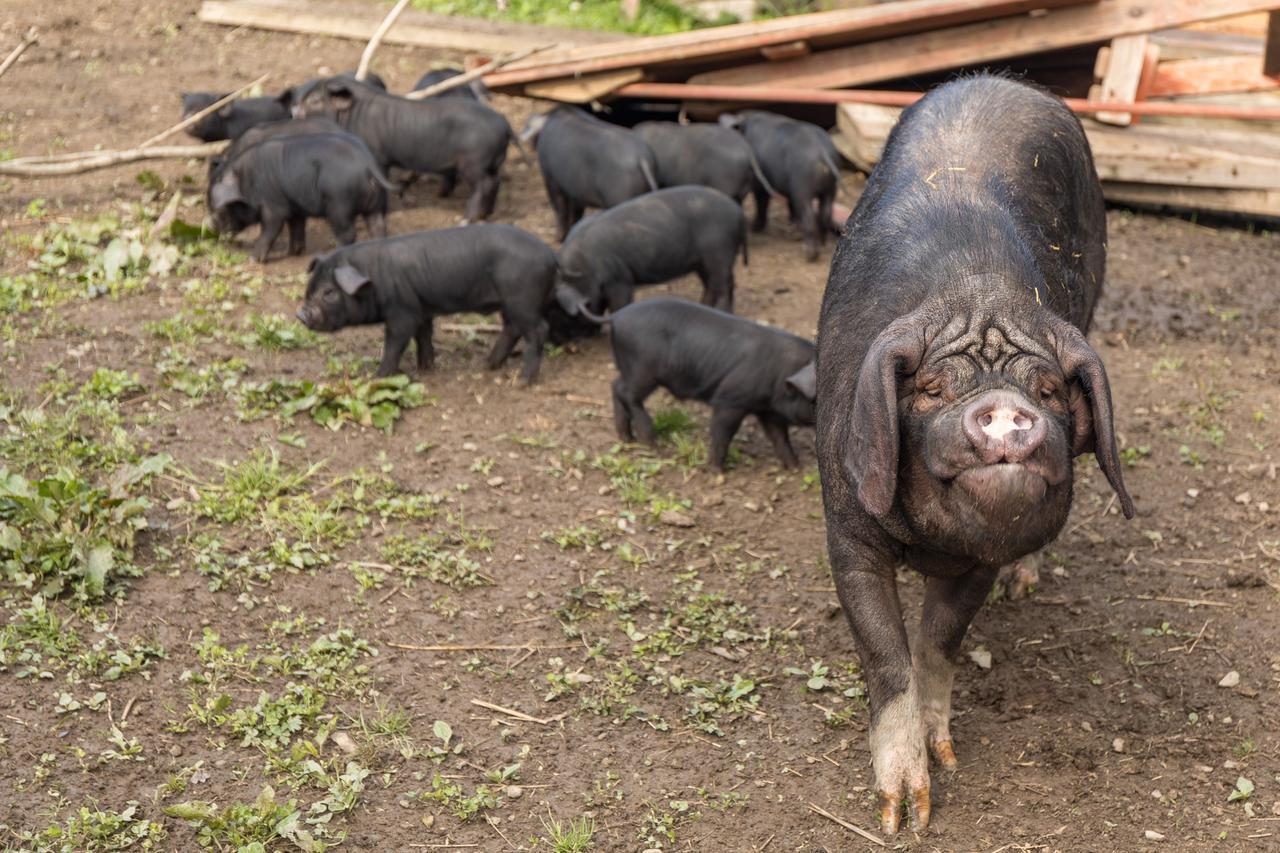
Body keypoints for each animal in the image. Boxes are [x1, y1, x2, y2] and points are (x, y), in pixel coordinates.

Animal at [293, 75, 517, 220]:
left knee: (484, 185)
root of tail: (504, 123)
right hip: (492, 162)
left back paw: (465, 220)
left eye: (314, 100)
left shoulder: (378, 156)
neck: (352, 115)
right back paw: (486, 214)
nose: (295, 112)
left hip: (473, 163)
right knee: (495, 182)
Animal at [302, 225, 563, 384]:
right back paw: (488, 365)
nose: (301, 314)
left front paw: (378, 377)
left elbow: (395, 343)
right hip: (512, 303)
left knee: (538, 330)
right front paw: (426, 367)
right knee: (512, 328)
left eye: (328, 292)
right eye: (310, 287)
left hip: (522, 298)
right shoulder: (421, 309)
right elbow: (424, 336)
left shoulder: (402, 312)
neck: (374, 278)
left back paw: (521, 381)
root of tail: (551, 255)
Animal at [552, 185, 747, 315]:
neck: (586, 262)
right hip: (704, 262)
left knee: (722, 286)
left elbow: (620, 303)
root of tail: (739, 213)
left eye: (574, 280)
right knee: (718, 284)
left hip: (719, 253)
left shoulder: (619, 279)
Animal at [601, 295, 819, 468]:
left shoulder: (767, 409)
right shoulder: (730, 398)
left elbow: (779, 436)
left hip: (629, 368)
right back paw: (650, 441)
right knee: (627, 394)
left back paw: (626, 438)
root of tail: (617, 316)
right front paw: (716, 470)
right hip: (643, 370)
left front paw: (794, 467)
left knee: (616, 386)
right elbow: (722, 431)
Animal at [814, 73, 1136, 829]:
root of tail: (1007, 82)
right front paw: (904, 815)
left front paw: (948, 759)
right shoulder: (847, 528)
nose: (1006, 411)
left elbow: (939, 640)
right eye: (931, 388)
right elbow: (888, 654)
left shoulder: (979, 558)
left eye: (1047, 389)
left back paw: (1028, 583)